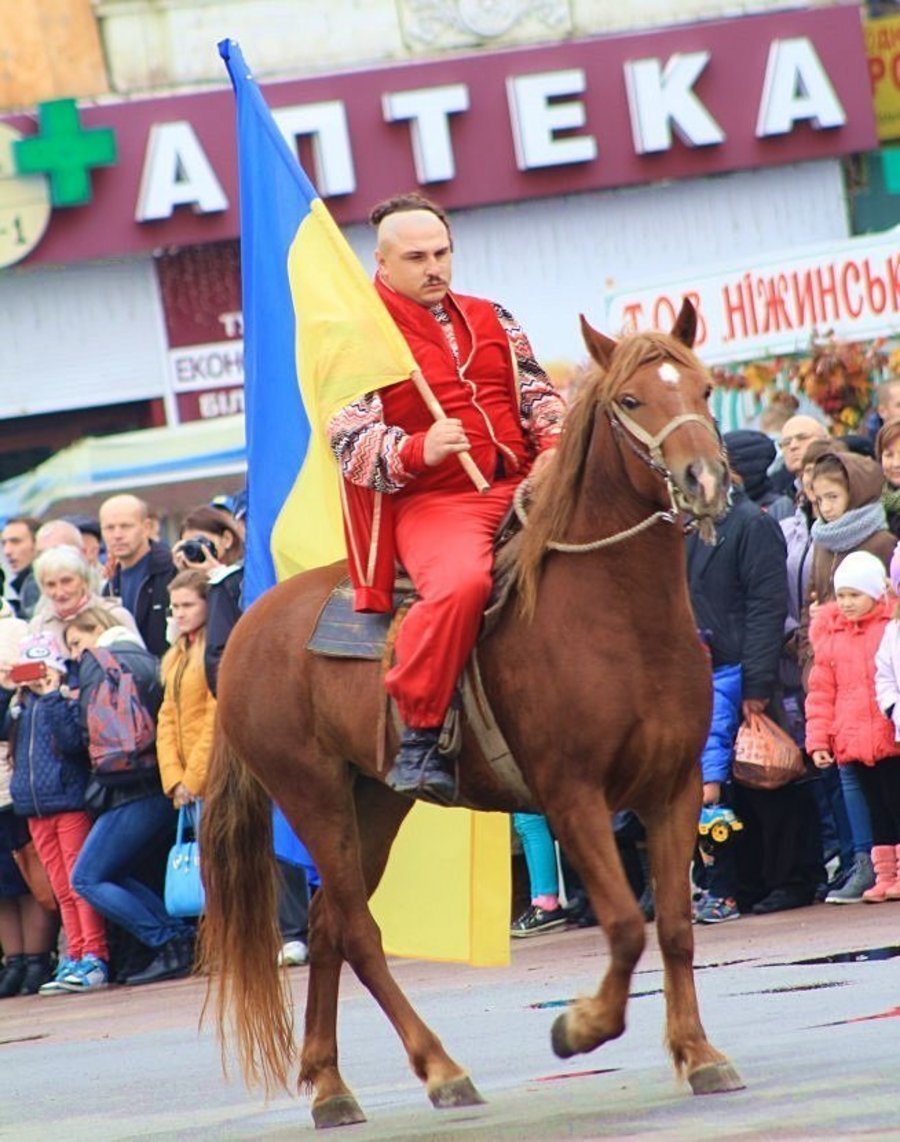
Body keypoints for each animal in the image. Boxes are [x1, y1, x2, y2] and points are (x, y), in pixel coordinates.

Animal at [199, 299, 740, 1128]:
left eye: (706, 388)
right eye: (630, 399)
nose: (704, 479)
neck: (617, 614)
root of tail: (247, 628)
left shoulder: (673, 788)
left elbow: (675, 927)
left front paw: (700, 1053)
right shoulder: (572, 796)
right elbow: (624, 925)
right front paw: (580, 1026)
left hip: (373, 801)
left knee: (327, 928)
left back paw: (331, 1086)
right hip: (313, 797)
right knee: (359, 933)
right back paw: (441, 1068)